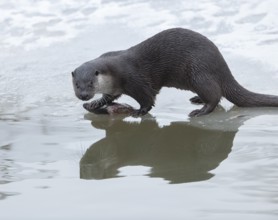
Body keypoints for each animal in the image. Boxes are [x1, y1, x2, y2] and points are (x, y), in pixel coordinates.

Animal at [71, 27, 278, 117]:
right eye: (76, 84)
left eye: (90, 83)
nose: (83, 95)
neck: (114, 73)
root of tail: (222, 66)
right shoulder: (113, 89)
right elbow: (108, 98)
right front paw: (94, 104)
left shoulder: (136, 81)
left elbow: (148, 98)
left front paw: (140, 111)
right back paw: (197, 100)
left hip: (199, 73)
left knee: (214, 96)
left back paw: (200, 111)